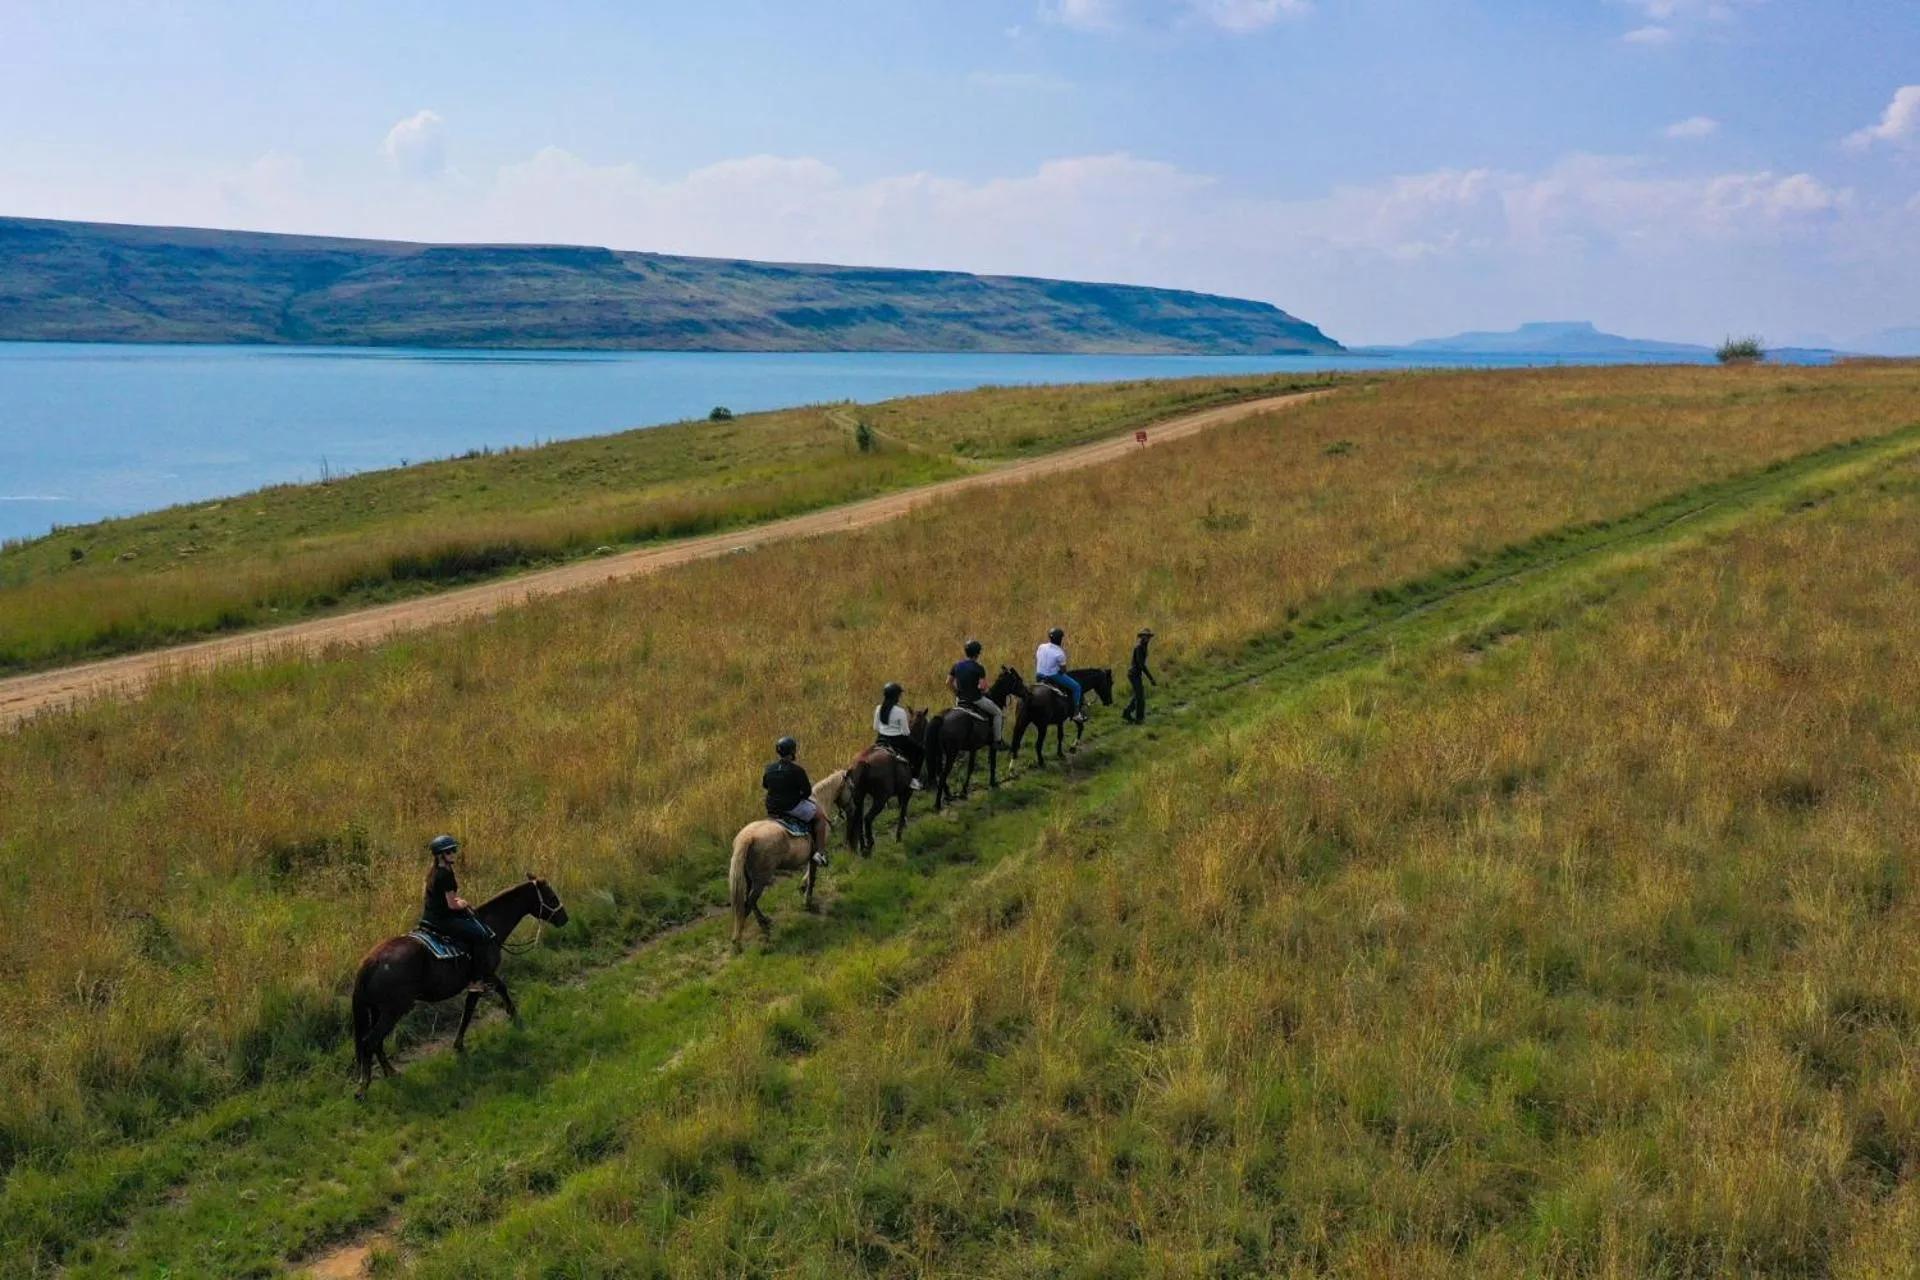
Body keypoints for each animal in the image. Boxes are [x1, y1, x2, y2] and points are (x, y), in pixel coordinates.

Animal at [350, 875, 569, 1100]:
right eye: (551, 897)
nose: (564, 918)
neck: (488, 926)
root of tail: (371, 961)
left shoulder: (483, 979)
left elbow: (485, 999)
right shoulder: (484, 976)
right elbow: (477, 1006)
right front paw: (509, 1019)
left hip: (378, 1010)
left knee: (375, 1042)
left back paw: (390, 1073)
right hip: (393, 1011)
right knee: (370, 1041)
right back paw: (364, 1087)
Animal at [729, 768, 854, 948]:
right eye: (851, 787)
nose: (852, 809)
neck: (820, 801)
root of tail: (748, 838)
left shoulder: (810, 856)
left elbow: (809, 873)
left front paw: (802, 887)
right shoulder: (814, 854)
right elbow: (813, 876)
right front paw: (807, 901)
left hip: (749, 877)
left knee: (749, 900)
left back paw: (763, 923)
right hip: (761, 878)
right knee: (749, 902)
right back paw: (743, 936)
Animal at [844, 709, 929, 856]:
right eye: (926, 723)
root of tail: (862, 763)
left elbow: (901, 809)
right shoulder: (907, 792)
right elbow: (903, 810)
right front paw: (899, 836)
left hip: (859, 797)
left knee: (859, 819)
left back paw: (863, 847)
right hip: (880, 799)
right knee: (867, 818)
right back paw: (870, 844)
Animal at [925, 667, 1029, 811]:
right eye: (1018, 680)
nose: (1027, 693)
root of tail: (942, 719)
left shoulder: (973, 748)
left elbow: (972, 767)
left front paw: (964, 791)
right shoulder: (989, 745)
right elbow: (989, 764)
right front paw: (992, 783)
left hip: (940, 753)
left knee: (939, 773)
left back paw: (948, 795)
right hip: (952, 753)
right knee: (943, 775)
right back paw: (938, 803)